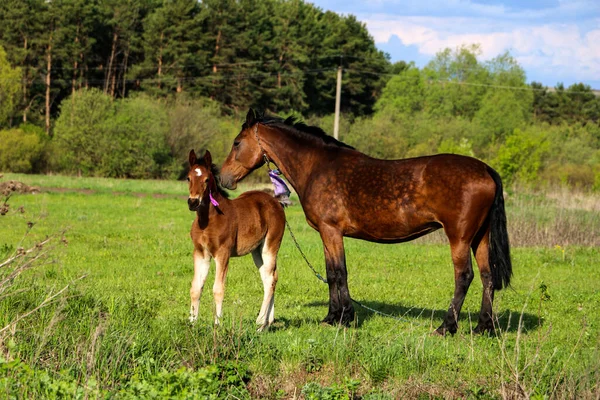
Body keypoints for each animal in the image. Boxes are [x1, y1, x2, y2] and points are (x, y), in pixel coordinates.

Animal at [188, 148, 286, 330]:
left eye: (206, 179)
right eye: (188, 178)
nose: (193, 202)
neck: (208, 220)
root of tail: (276, 202)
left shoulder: (223, 253)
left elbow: (218, 288)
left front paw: (217, 324)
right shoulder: (200, 253)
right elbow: (196, 288)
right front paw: (191, 324)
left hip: (270, 246)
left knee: (270, 279)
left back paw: (260, 322)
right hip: (257, 251)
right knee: (270, 277)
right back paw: (267, 323)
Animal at [220, 109, 510, 334]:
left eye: (236, 142)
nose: (223, 178)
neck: (317, 167)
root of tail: (485, 169)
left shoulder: (332, 231)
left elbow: (340, 272)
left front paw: (346, 318)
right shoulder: (325, 234)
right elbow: (331, 273)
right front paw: (331, 317)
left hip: (459, 237)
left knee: (464, 276)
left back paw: (446, 327)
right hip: (480, 237)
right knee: (487, 276)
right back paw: (484, 327)